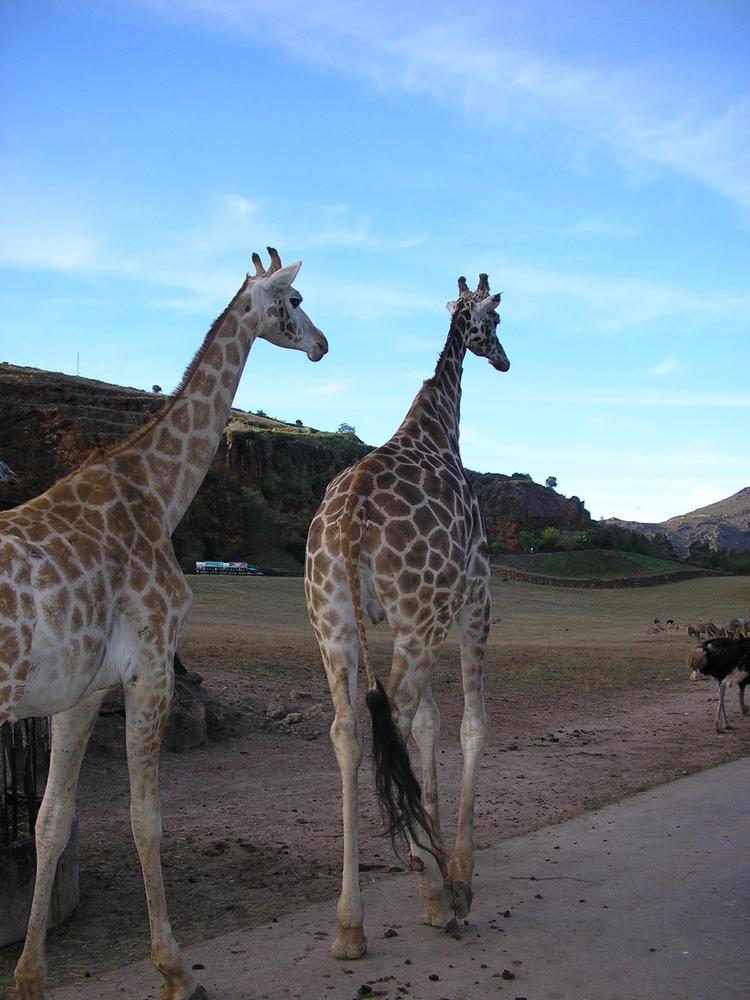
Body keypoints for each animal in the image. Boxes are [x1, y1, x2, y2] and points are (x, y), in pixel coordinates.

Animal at [0, 244, 328, 1000]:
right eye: (295, 301)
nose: (323, 345)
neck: (156, 490)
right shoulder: (150, 666)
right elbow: (146, 819)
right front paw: (176, 968)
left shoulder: (82, 691)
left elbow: (51, 820)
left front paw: (29, 976)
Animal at [306, 270, 512, 956]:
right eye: (495, 322)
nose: (504, 358)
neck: (438, 426)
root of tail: (351, 519)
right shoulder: (474, 598)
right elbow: (470, 723)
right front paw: (459, 876)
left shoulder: (415, 620)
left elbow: (429, 722)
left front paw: (435, 849)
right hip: (418, 617)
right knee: (389, 716)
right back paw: (437, 897)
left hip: (334, 622)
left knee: (348, 729)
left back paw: (349, 923)